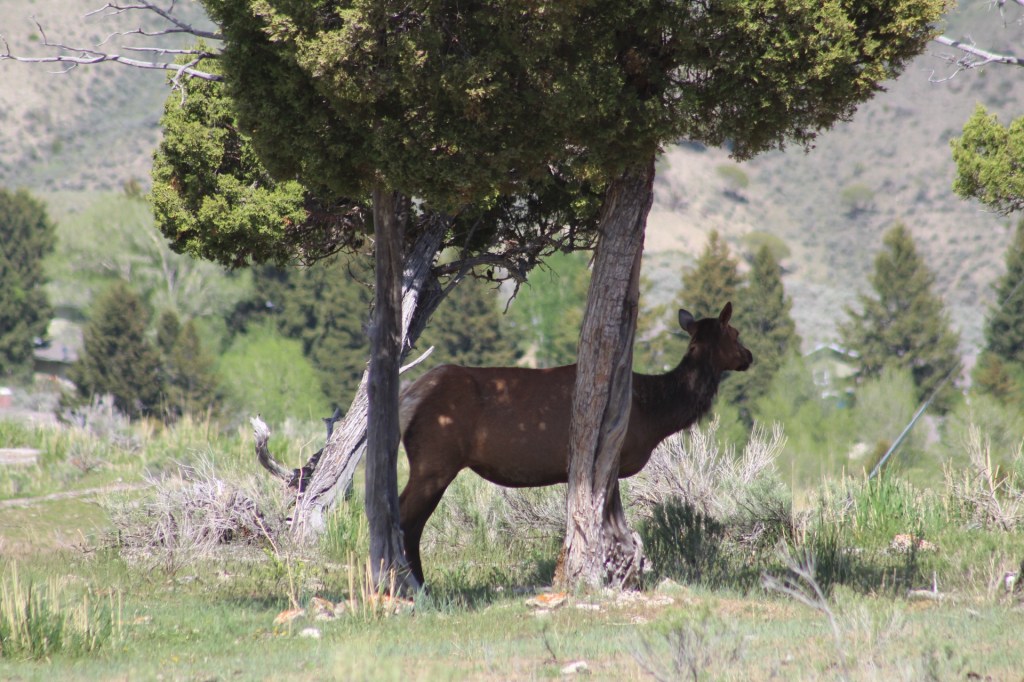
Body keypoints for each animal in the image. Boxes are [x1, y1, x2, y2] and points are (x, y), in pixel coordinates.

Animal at [397, 302, 753, 585]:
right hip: (434, 460)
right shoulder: (613, 455)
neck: (654, 412)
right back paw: (411, 587)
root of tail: (410, 395)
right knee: (405, 519)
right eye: (735, 333)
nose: (749, 356)